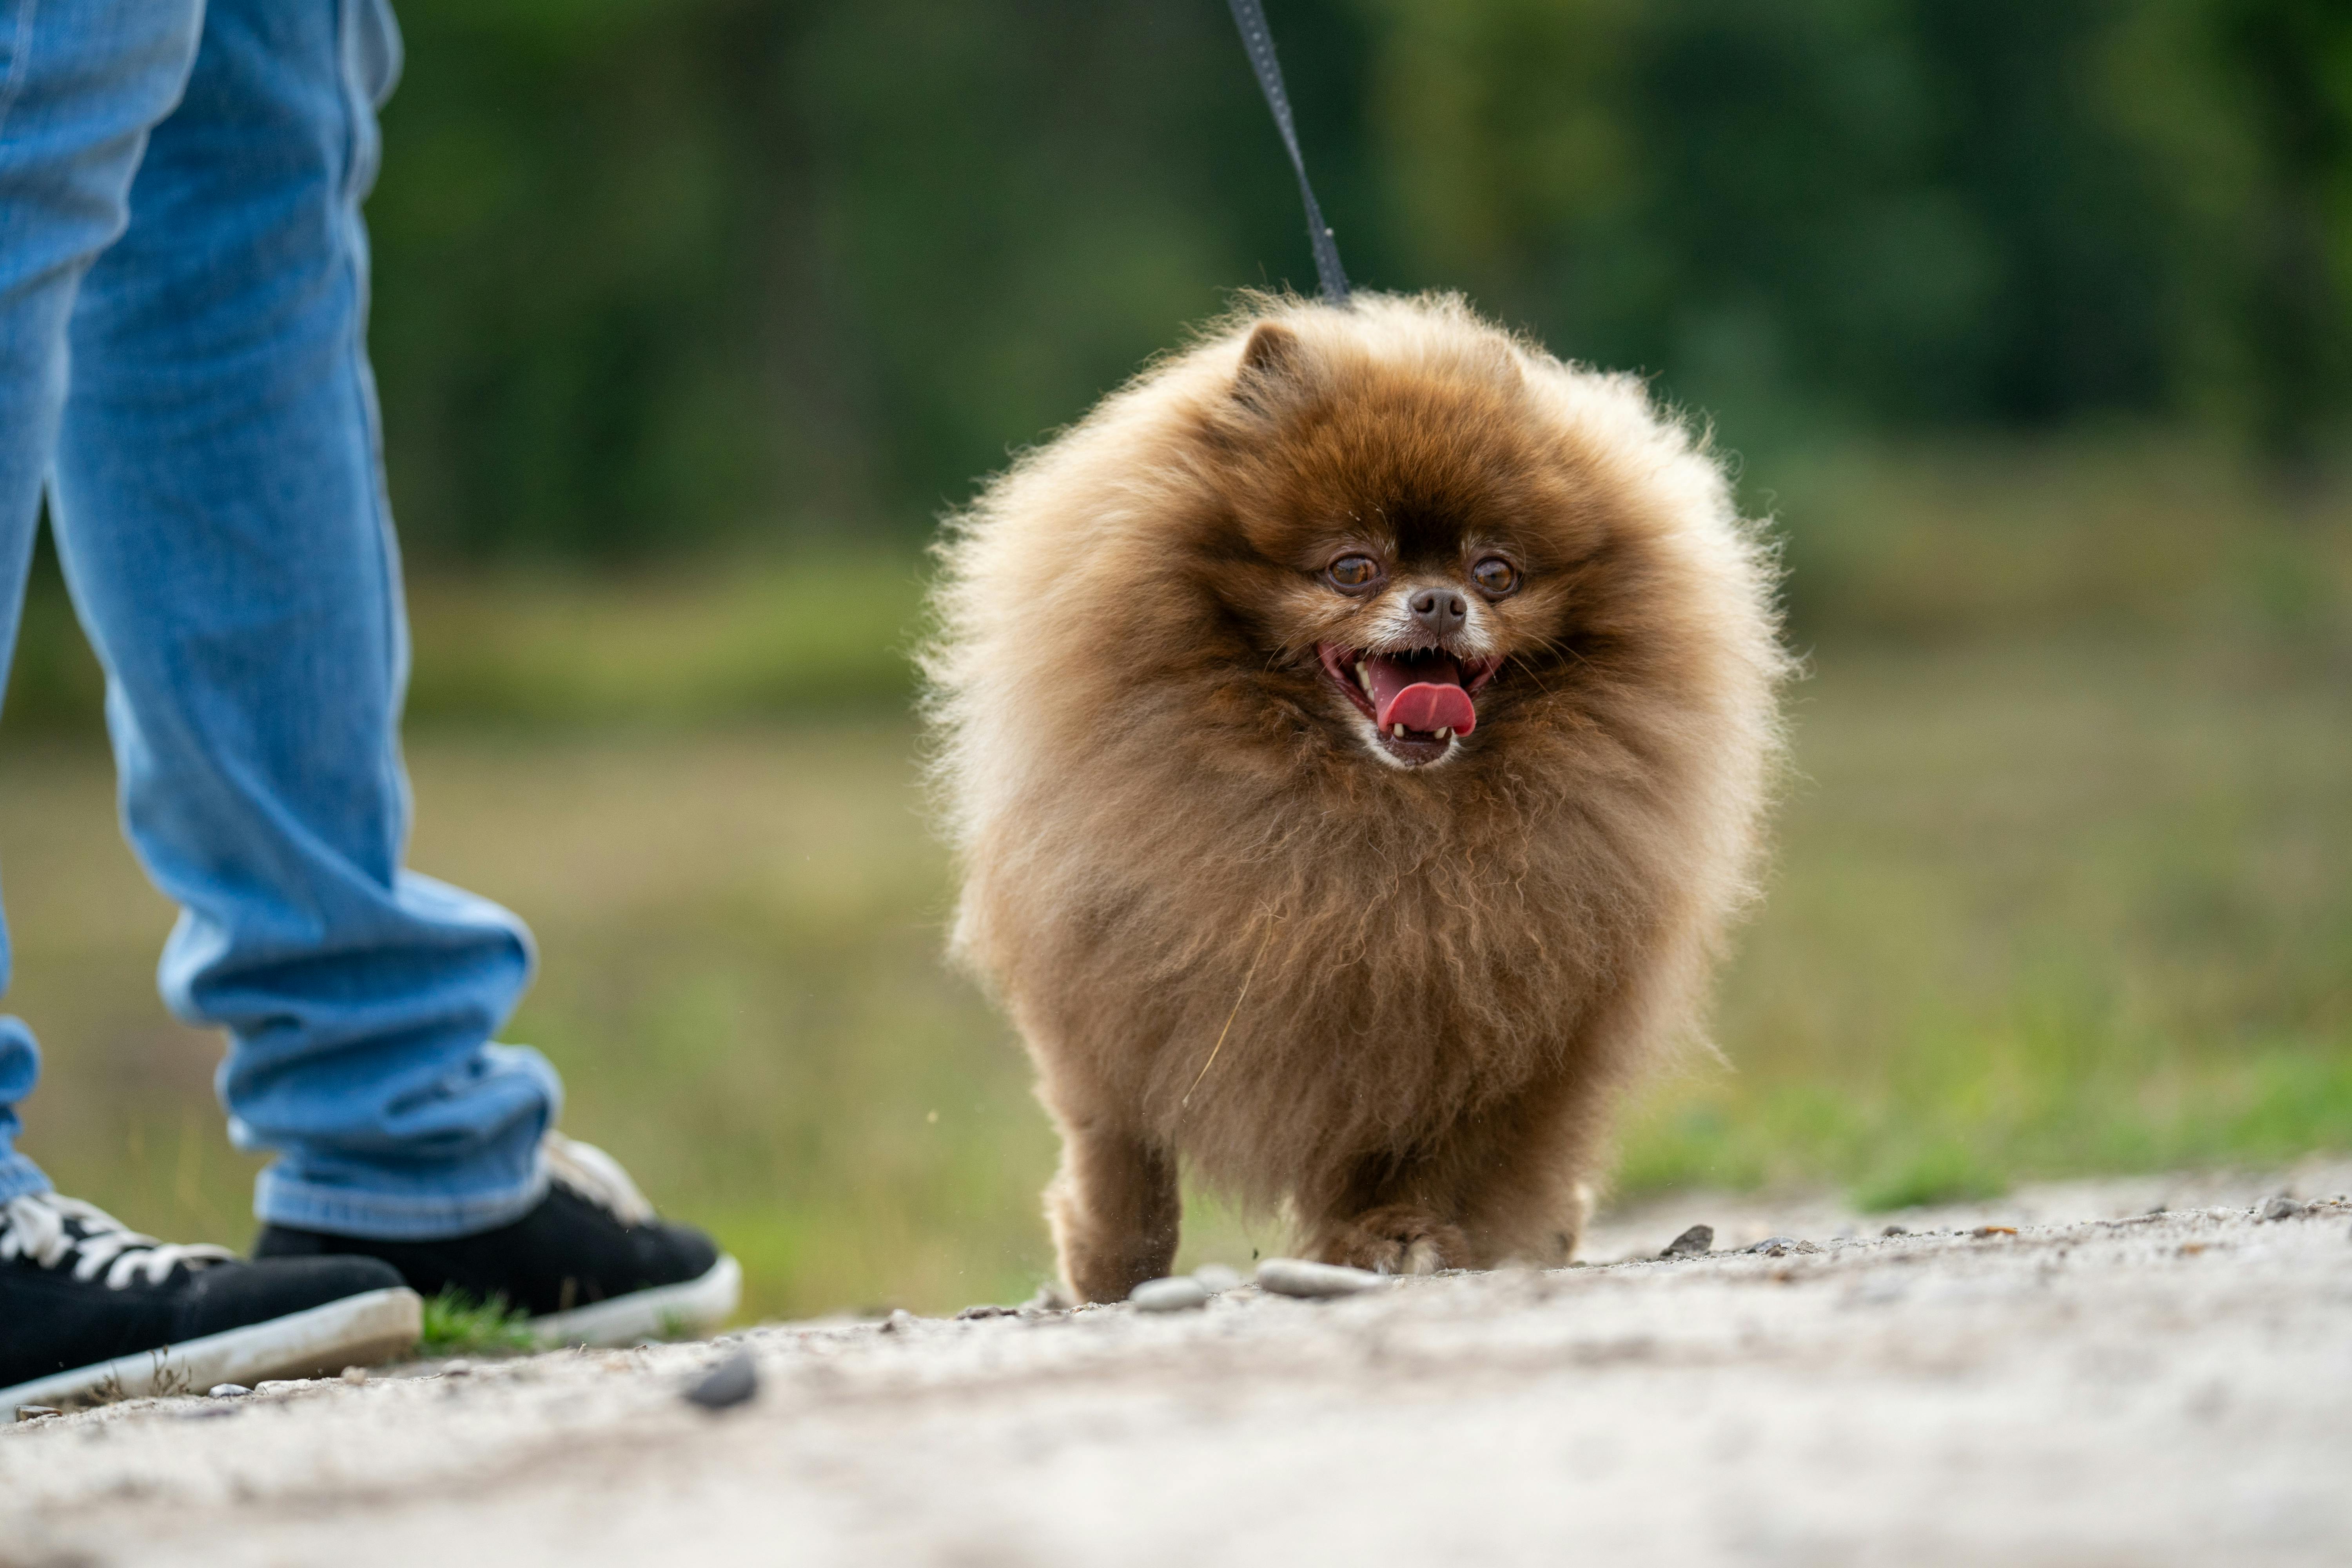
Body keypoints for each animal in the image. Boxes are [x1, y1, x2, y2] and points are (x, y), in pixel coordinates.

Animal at [917, 291, 1778, 1298]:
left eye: (1496, 572)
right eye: (1352, 567)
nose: (1442, 601)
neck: (1369, 815)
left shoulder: (1476, 1007)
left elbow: (1419, 1145)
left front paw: (1391, 1235)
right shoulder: (1110, 983)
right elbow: (1119, 1146)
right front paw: (1113, 1267)